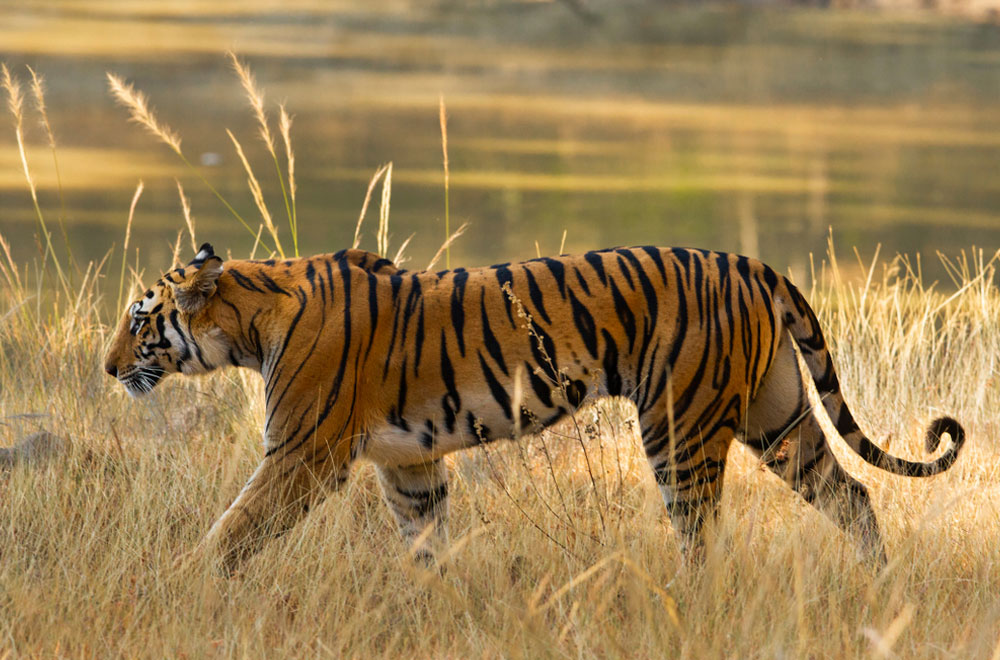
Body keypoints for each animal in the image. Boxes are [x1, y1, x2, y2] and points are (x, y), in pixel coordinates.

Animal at [105, 245, 964, 568]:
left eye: (141, 321)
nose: (107, 367)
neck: (251, 320)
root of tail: (750, 263)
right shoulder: (409, 463)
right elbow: (426, 541)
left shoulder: (301, 454)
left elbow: (232, 529)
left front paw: (187, 583)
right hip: (777, 417)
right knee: (853, 493)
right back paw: (876, 583)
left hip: (681, 428)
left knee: (700, 533)